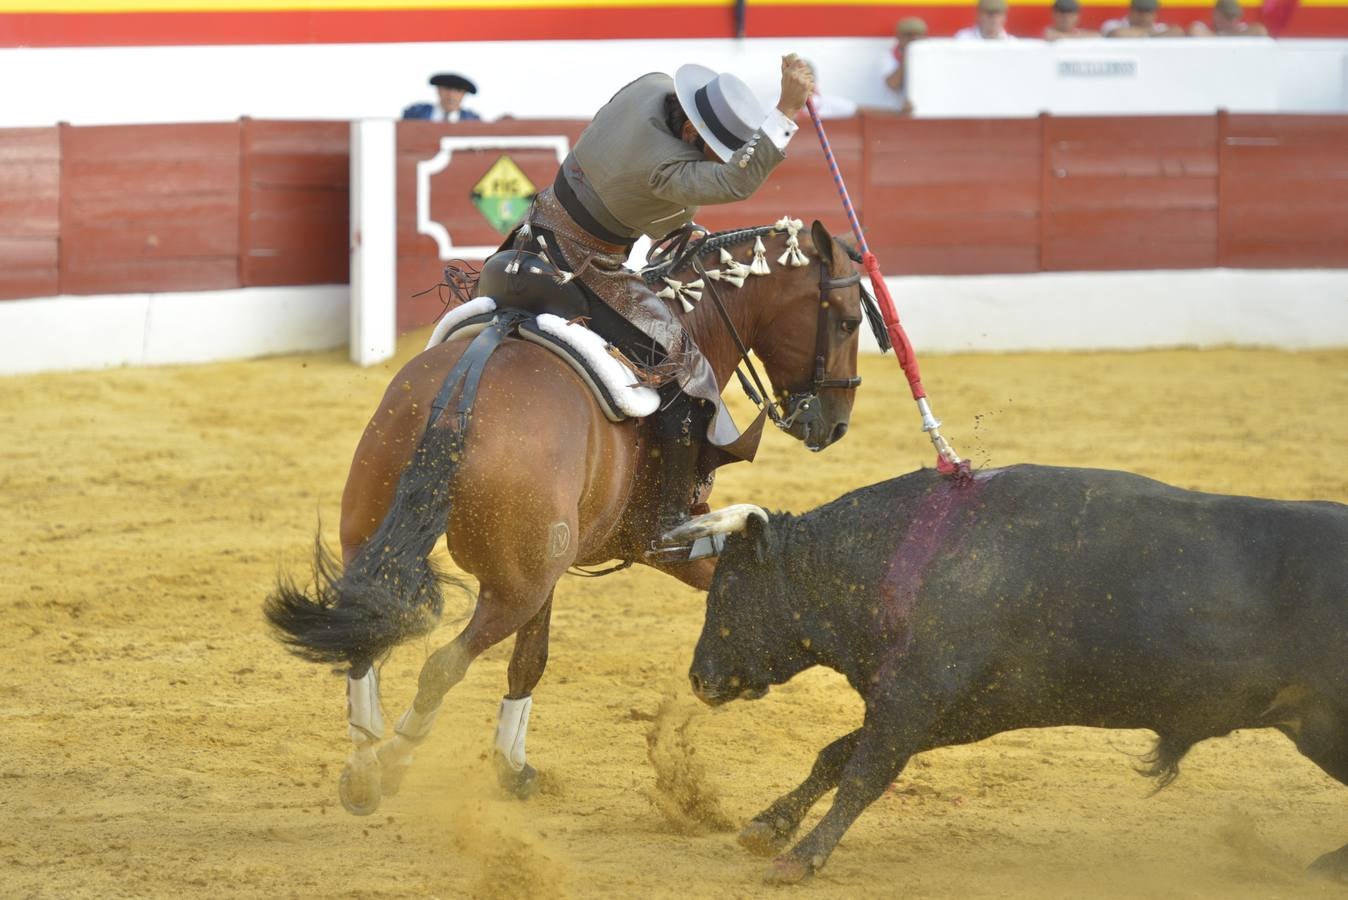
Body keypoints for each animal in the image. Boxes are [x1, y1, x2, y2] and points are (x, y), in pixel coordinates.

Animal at [265, 218, 862, 813]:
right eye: (850, 322)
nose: (833, 424)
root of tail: (460, 397)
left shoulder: (565, 565)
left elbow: (531, 658)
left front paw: (512, 767)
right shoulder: (665, 543)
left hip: (392, 544)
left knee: (365, 634)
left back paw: (363, 763)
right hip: (516, 588)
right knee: (442, 665)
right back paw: (389, 762)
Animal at [684, 468, 1348, 883]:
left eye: (730, 587)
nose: (698, 678)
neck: (893, 556)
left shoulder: (913, 699)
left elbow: (863, 774)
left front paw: (799, 860)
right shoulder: (958, 712)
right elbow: (836, 755)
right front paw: (766, 827)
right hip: (1317, 729)